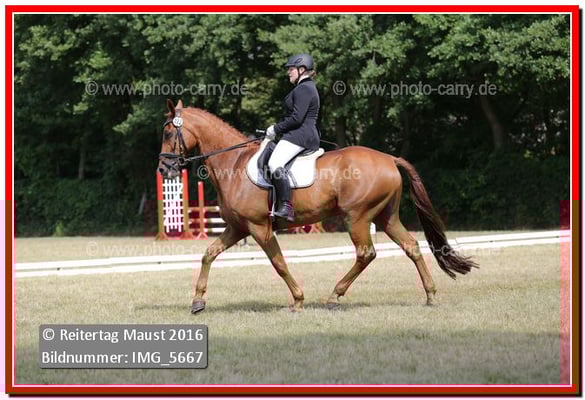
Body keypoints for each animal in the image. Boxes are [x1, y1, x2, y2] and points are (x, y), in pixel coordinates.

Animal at [157, 99, 478, 313]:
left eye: (169, 133)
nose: (163, 169)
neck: (233, 164)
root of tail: (389, 158)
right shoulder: (238, 227)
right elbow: (208, 254)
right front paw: (198, 300)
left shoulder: (259, 227)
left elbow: (278, 263)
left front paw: (298, 299)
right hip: (386, 217)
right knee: (411, 246)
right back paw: (430, 295)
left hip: (357, 217)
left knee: (366, 253)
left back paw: (334, 296)